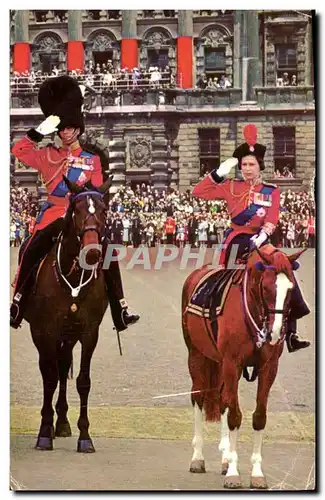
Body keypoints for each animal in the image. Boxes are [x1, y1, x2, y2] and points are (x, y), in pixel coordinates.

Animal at [23, 178, 110, 456]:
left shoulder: (89, 333)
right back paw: (51, 424)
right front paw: (43, 433)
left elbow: (83, 381)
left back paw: (61, 422)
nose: (92, 252)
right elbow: (48, 378)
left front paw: (85, 436)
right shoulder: (46, 331)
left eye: (104, 210)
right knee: (49, 371)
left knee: (62, 368)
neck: (72, 274)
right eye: (77, 210)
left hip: (68, 336)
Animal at [181, 245, 306, 488]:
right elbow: (235, 417)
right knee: (199, 397)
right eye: (266, 287)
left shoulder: (268, 368)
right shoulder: (232, 364)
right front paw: (233, 473)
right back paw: (198, 458)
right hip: (196, 356)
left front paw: (255, 472)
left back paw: (224, 458)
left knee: (222, 399)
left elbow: (258, 417)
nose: (275, 332)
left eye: (290, 289)